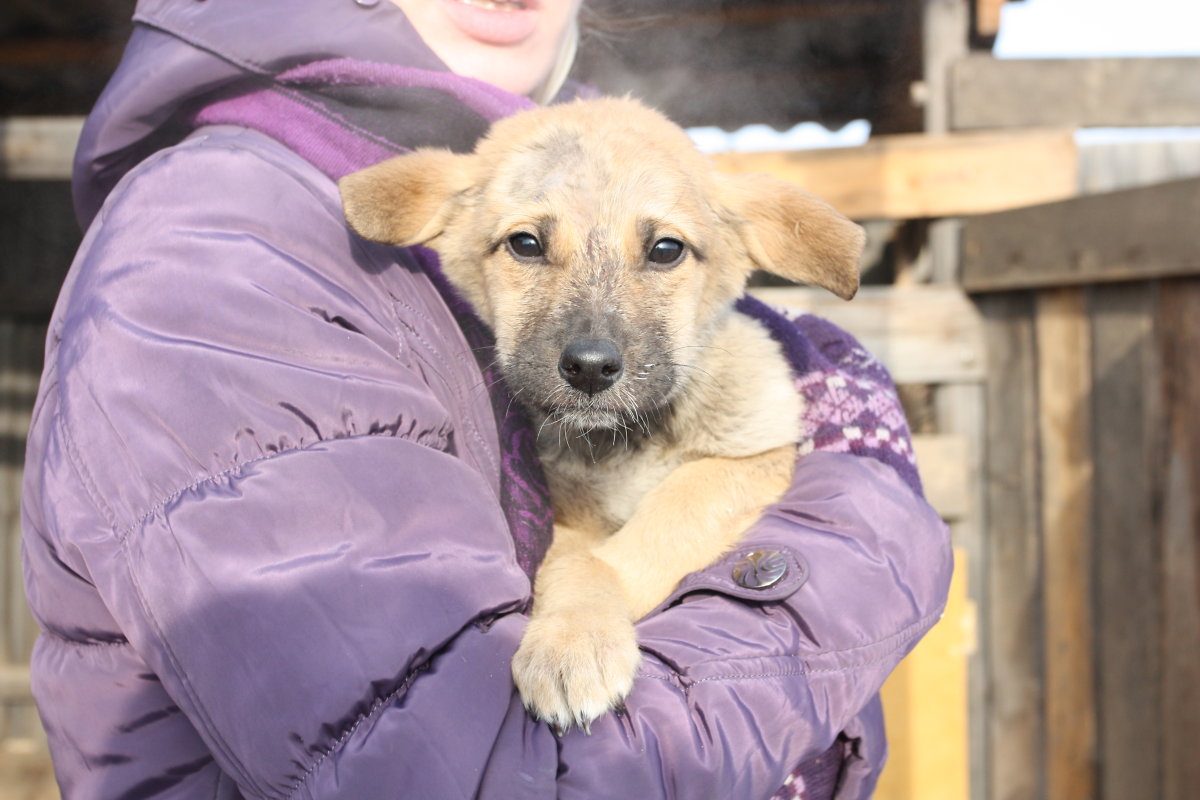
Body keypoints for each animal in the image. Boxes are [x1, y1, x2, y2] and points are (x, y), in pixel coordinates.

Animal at [338, 98, 864, 734]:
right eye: (525, 244)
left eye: (666, 249)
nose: (590, 369)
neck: (627, 443)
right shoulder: (567, 520)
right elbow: (572, 563)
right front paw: (572, 635)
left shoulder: (755, 456)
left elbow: (668, 513)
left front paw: (578, 634)